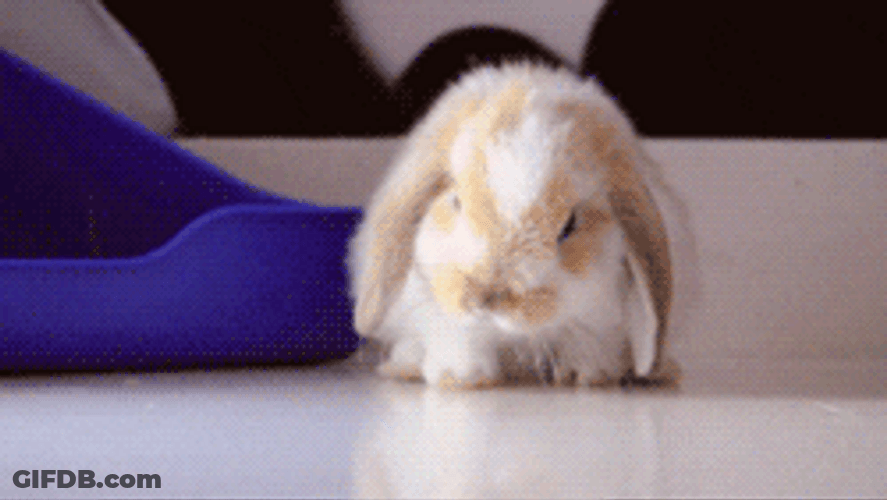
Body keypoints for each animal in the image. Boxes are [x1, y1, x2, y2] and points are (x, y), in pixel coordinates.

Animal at [347, 61, 684, 389]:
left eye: (570, 225)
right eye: (456, 201)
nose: (487, 298)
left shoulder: (599, 318)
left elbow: (585, 341)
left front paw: (583, 376)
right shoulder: (442, 312)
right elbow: (463, 339)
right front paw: (462, 379)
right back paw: (403, 367)